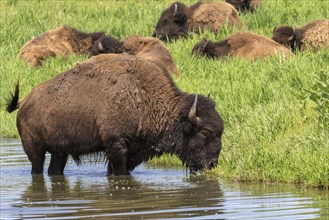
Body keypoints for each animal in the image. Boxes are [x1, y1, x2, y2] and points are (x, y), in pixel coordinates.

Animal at [7, 52, 223, 175]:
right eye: (205, 132)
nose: (212, 164)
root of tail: (24, 101)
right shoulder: (116, 145)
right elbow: (119, 174)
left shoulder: (132, 151)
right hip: (35, 149)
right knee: (37, 169)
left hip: (60, 151)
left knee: (55, 170)